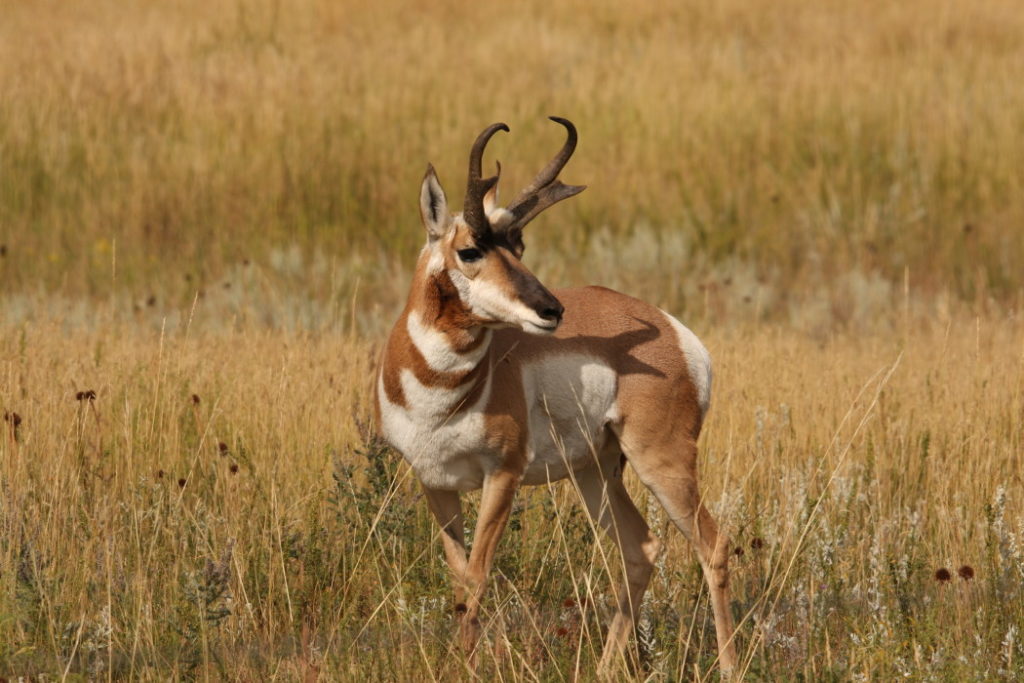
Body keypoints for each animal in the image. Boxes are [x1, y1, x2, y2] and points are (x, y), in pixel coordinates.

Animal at [375, 117, 737, 675]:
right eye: (470, 249)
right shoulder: (435, 483)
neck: (439, 391)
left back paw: (730, 666)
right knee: (641, 548)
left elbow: (477, 576)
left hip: (661, 461)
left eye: (518, 246)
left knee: (713, 546)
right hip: (596, 472)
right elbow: (458, 580)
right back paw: (606, 668)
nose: (551, 309)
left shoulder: (502, 476)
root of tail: (674, 332)